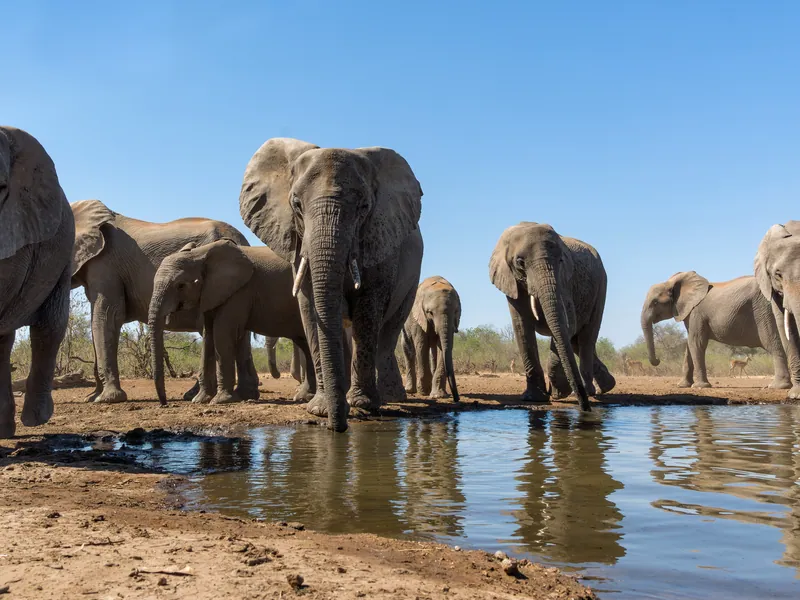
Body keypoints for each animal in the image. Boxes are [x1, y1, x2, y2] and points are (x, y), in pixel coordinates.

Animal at [70, 199, 260, 405]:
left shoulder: (106, 265)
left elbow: (108, 316)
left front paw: (106, 399)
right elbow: (97, 321)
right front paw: (92, 397)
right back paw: (243, 394)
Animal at [149, 240, 316, 405]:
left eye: (180, 285)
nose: (164, 403)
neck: (200, 254)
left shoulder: (239, 291)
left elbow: (221, 333)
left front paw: (220, 400)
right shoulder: (212, 293)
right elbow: (208, 335)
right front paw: (200, 400)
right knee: (305, 343)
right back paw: (304, 397)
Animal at [239, 138, 424, 432]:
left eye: (364, 208)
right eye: (296, 205)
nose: (338, 428)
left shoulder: (381, 239)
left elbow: (368, 309)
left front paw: (362, 406)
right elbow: (311, 308)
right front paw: (321, 409)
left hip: (412, 278)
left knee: (388, 331)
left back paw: (389, 398)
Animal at [489, 222, 615, 411]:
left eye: (561, 260)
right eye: (520, 262)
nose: (585, 408)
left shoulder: (564, 282)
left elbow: (567, 323)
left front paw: (559, 393)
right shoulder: (511, 283)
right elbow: (522, 327)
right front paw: (534, 398)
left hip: (601, 286)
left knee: (586, 338)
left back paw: (589, 391)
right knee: (575, 342)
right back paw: (606, 387)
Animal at [641, 272, 790, 389]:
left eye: (655, 302)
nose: (658, 360)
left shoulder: (696, 313)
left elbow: (696, 343)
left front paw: (700, 386)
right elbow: (689, 346)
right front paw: (683, 386)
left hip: (764, 311)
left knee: (772, 343)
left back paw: (777, 386)